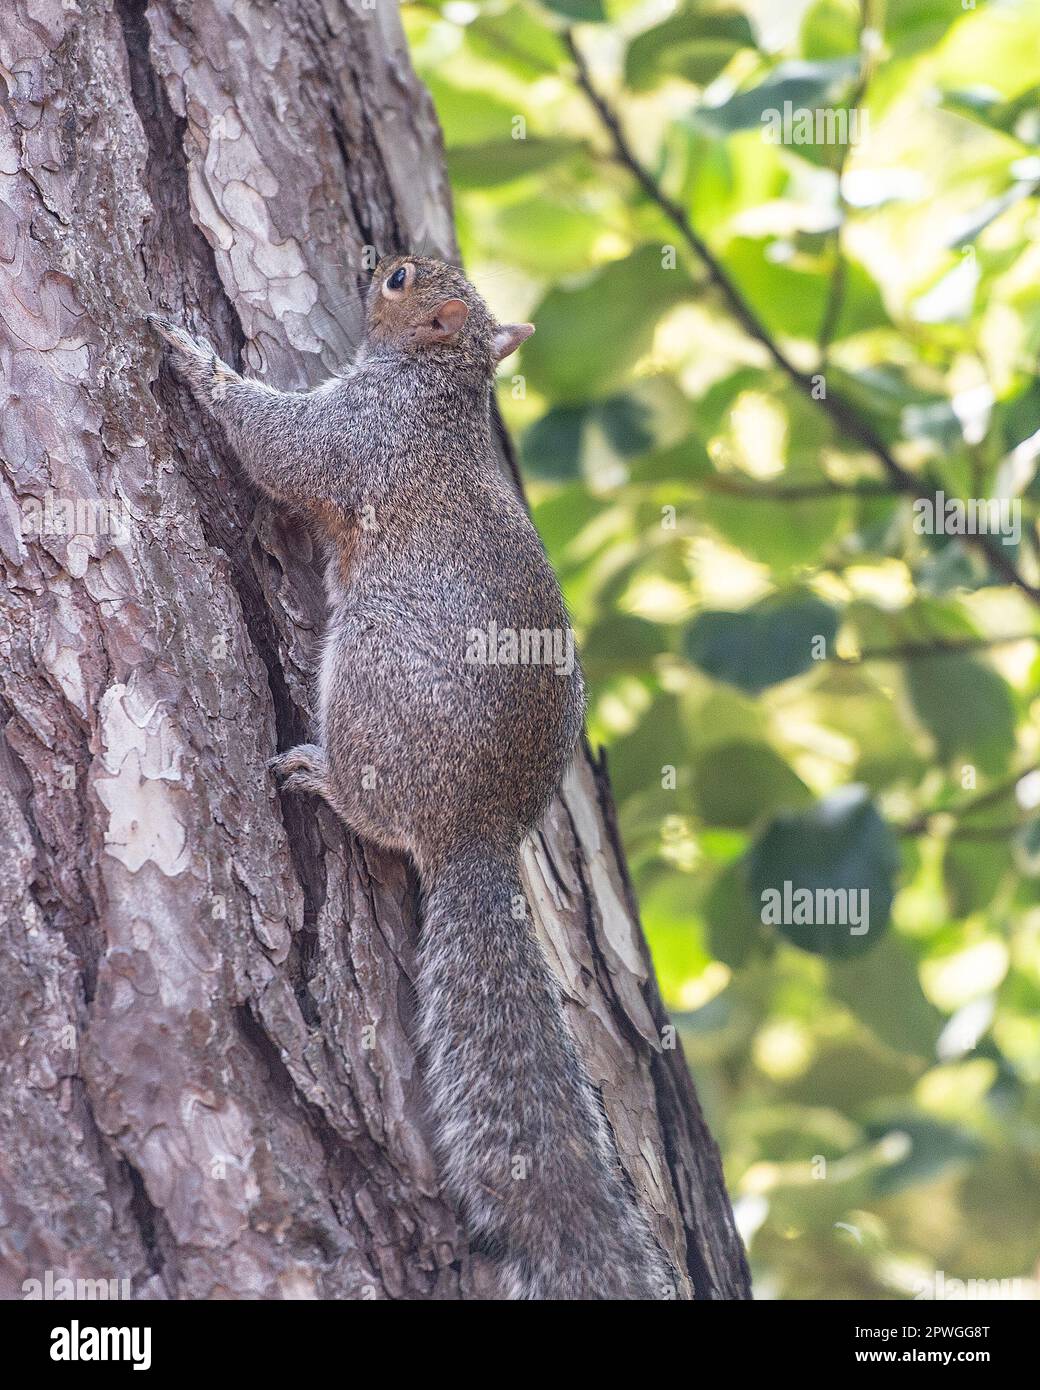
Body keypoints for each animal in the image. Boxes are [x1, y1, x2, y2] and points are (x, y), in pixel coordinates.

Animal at [149, 255, 677, 1300]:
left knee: (371, 804)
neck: (443, 386)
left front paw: (193, 357)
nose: (368, 263)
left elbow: (281, 447)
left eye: (398, 279)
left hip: (370, 675)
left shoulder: (362, 432)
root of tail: (477, 831)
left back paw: (320, 775)